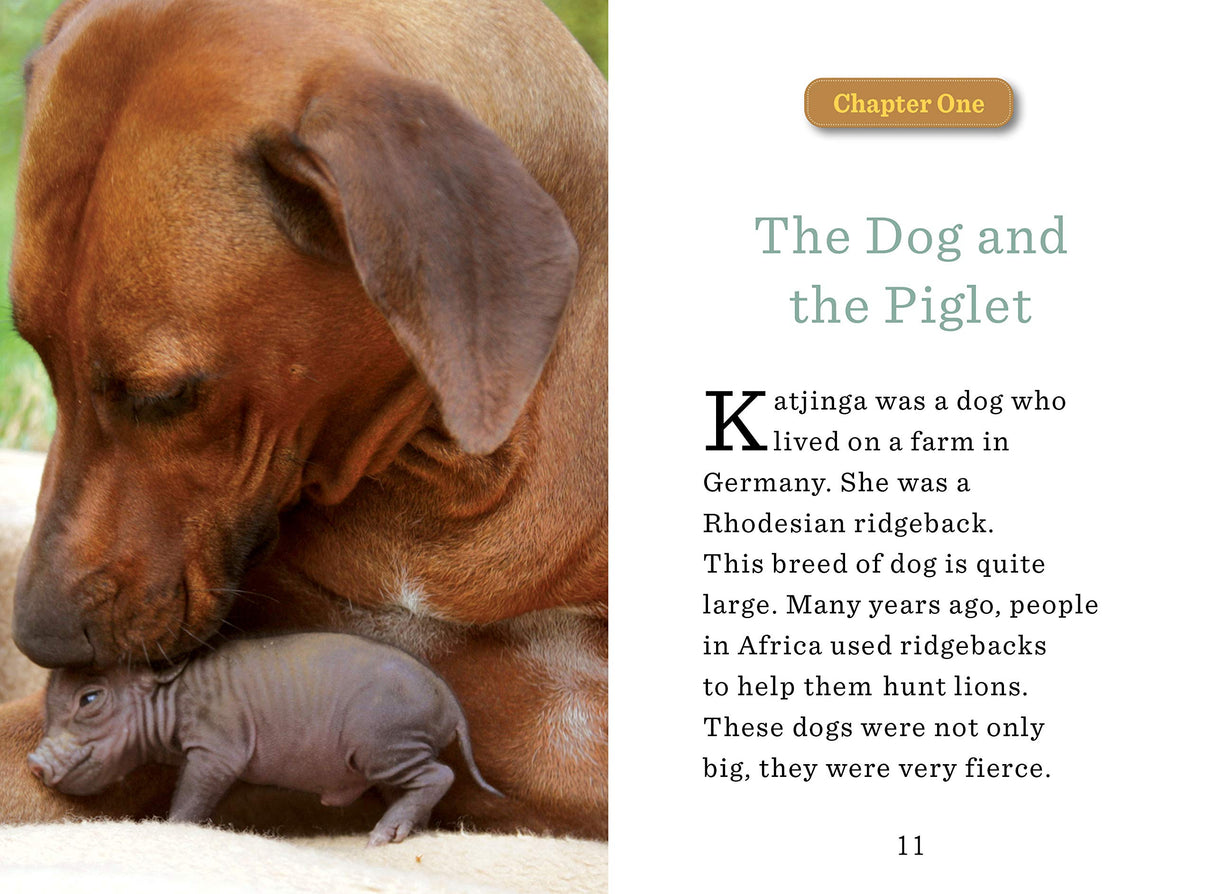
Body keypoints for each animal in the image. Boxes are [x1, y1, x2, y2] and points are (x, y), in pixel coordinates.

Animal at [28, 632, 503, 845]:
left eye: (90, 699)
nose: (33, 762)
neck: (174, 692)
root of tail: (450, 701)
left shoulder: (217, 745)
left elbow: (193, 796)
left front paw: (172, 827)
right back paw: (409, 823)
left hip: (383, 740)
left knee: (439, 775)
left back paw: (387, 831)